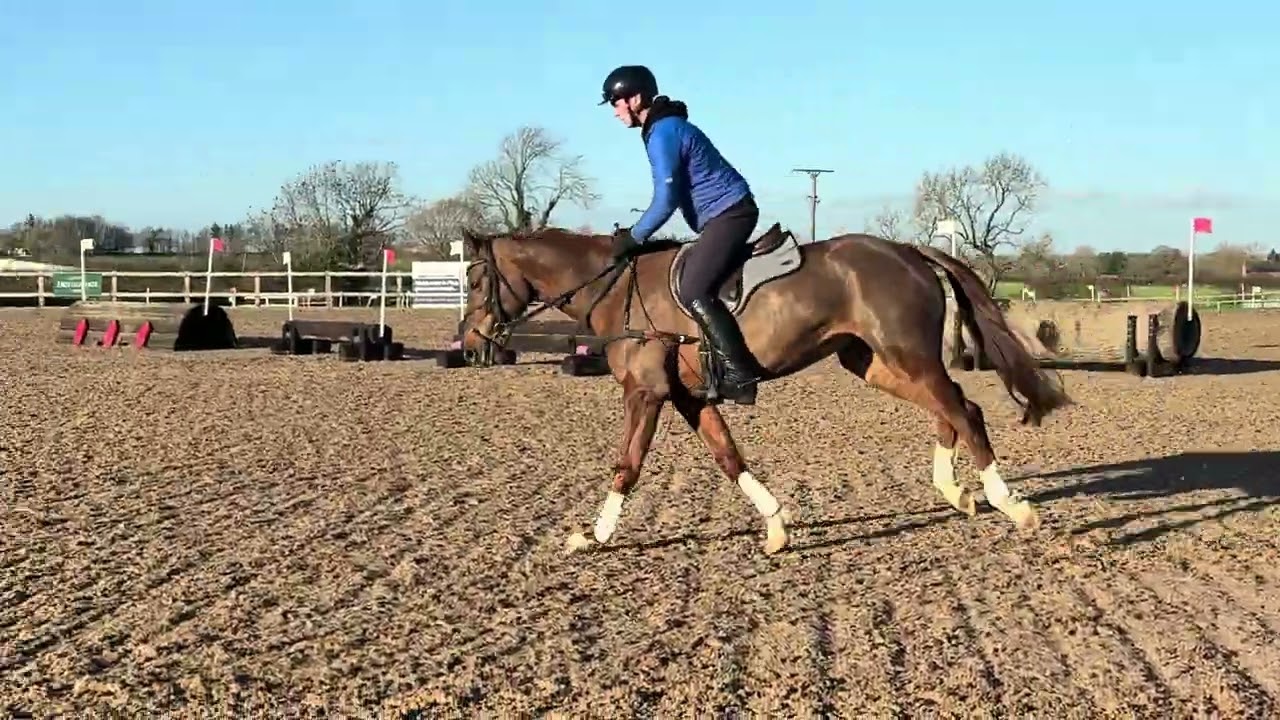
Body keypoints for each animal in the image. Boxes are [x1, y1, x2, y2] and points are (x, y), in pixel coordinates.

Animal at [455, 224, 1072, 555]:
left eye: (478, 279)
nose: (471, 340)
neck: (617, 290)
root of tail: (905, 249)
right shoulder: (689, 398)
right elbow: (729, 458)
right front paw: (776, 526)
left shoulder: (646, 394)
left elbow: (626, 466)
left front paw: (595, 536)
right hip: (876, 364)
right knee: (952, 410)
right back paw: (956, 492)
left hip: (906, 357)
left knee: (966, 412)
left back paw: (1011, 506)